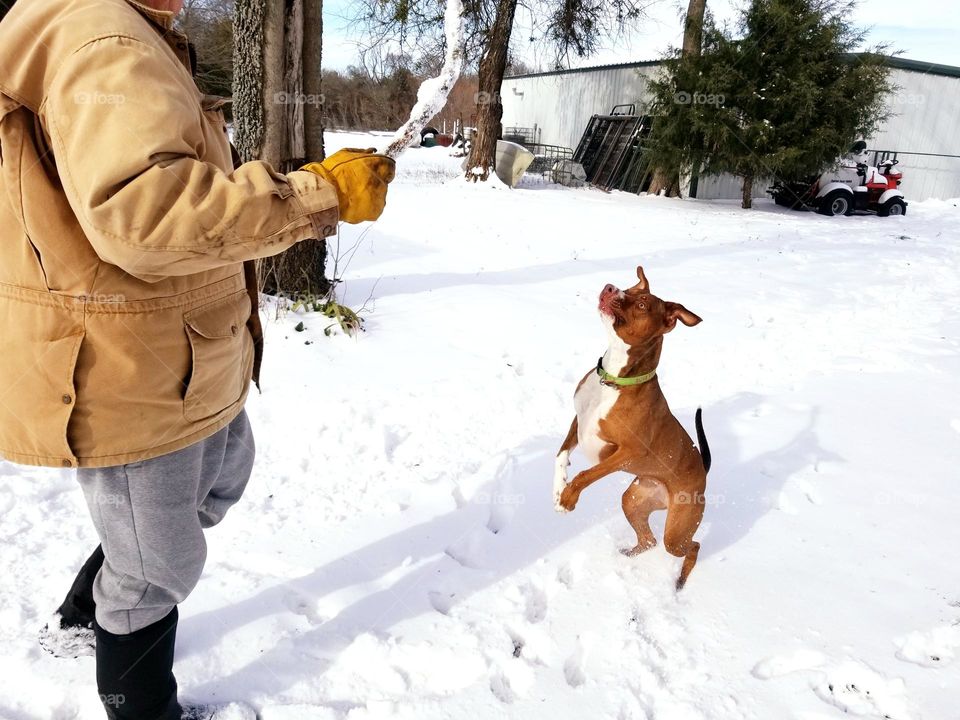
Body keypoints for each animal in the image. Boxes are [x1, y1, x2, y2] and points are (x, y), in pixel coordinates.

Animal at [552, 268, 708, 588]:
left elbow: (586, 474)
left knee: (692, 546)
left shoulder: (628, 452)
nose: (610, 288)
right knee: (649, 540)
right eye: (630, 288)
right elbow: (560, 456)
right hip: (634, 501)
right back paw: (629, 553)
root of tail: (704, 471)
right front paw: (558, 489)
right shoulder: (579, 420)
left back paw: (681, 581)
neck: (613, 380)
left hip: (678, 530)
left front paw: (569, 499)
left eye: (642, 305)